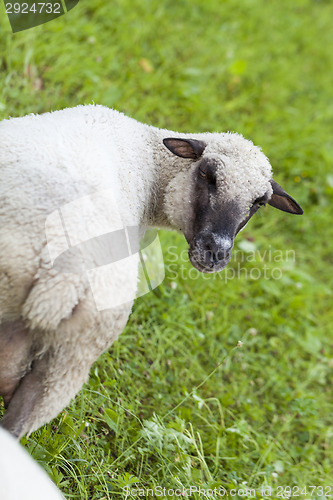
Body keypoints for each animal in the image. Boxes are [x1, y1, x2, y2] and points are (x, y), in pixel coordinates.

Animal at [0, 104, 300, 438]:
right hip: (68, 354)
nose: (216, 253)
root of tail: (63, 279)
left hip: (67, 354)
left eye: (259, 203)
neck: (150, 159)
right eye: (207, 175)